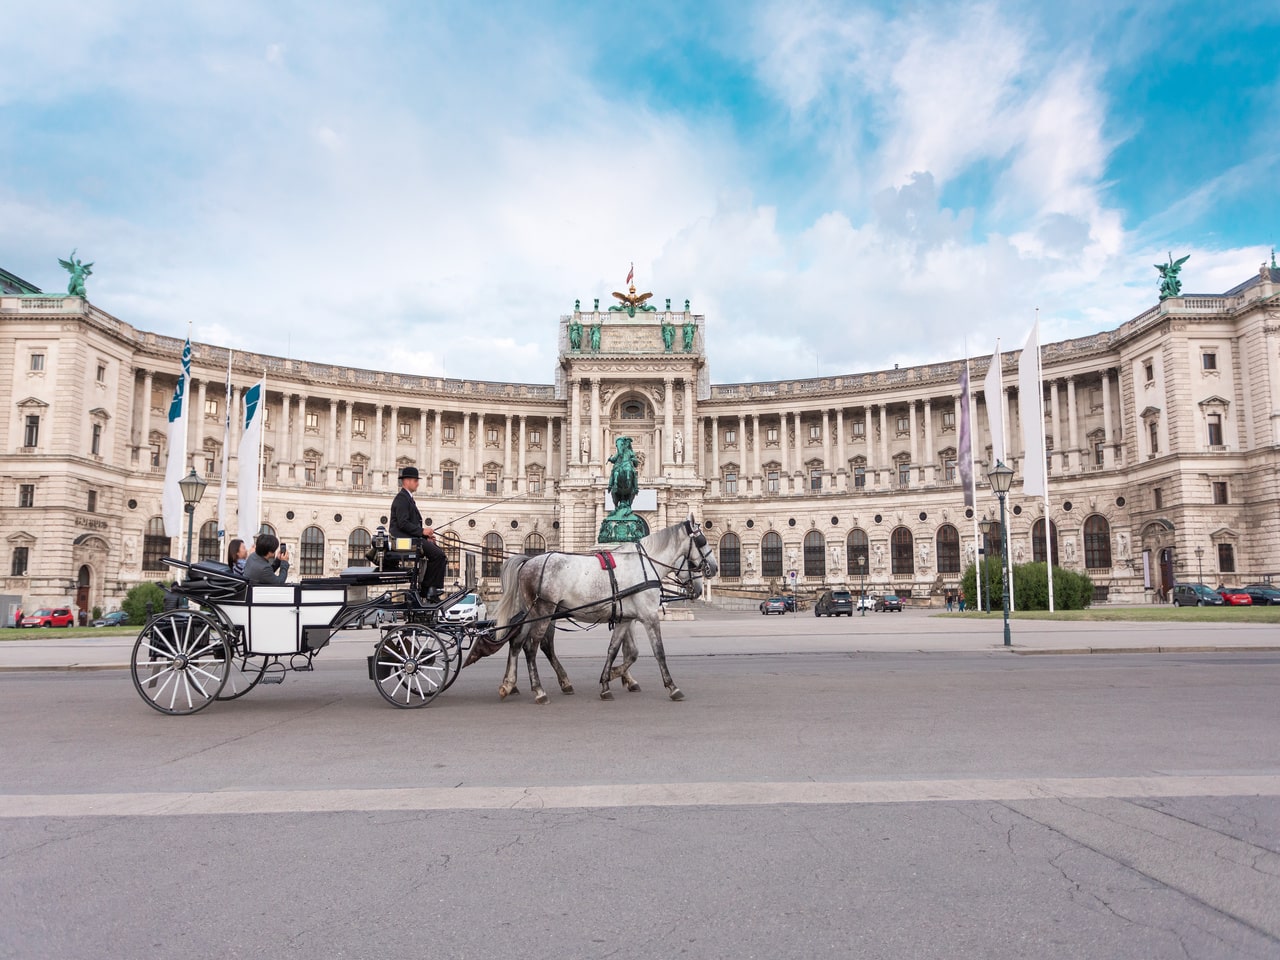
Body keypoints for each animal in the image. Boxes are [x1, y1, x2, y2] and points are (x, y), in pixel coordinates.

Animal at [486, 514, 716, 701]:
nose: (713, 569)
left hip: (530, 612)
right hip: (543, 613)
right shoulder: (649, 616)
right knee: (531, 647)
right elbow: (658, 651)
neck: (644, 565)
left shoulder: (625, 618)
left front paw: (608, 680)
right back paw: (539, 690)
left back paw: (510, 684)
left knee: (517, 643)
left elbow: (618, 650)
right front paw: (672, 687)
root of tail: (529, 561)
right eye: (702, 541)